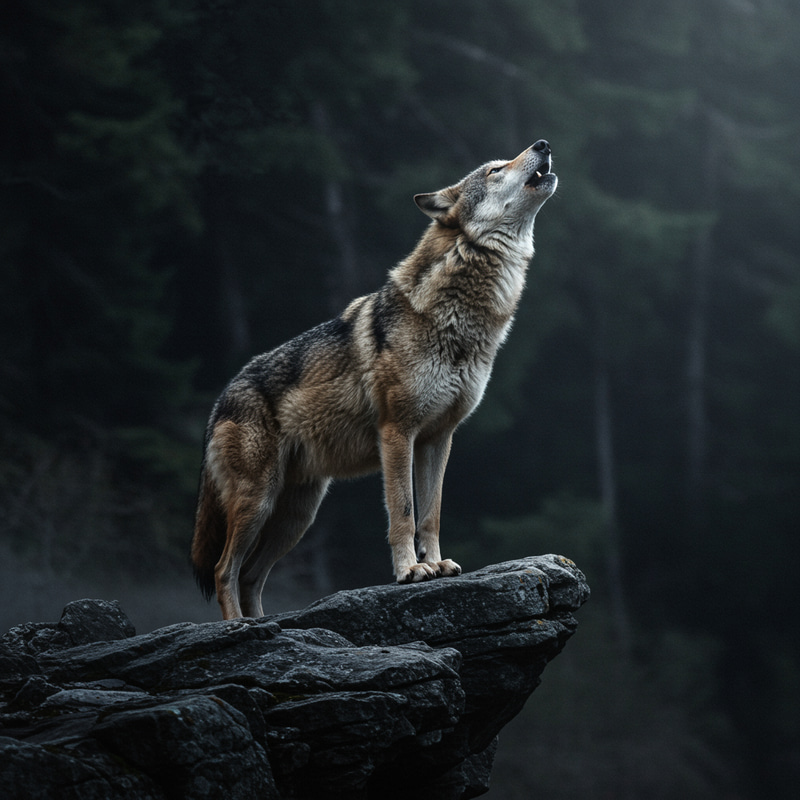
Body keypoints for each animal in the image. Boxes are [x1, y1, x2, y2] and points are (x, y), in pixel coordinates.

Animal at [191, 139, 558, 619]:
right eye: (495, 169)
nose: (543, 144)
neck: (461, 319)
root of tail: (220, 401)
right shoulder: (397, 432)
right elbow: (403, 511)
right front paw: (410, 571)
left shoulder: (438, 438)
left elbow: (431, 513)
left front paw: (438, 564)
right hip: (258, 502)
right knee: (223, 570)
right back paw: (238, 628)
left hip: (296, 516)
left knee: (251, 575)